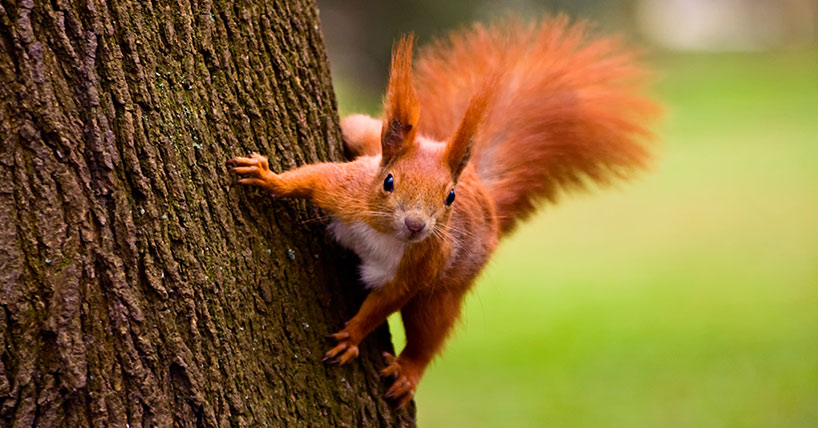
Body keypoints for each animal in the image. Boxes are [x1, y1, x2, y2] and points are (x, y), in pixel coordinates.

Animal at [228, 16, 657, 408]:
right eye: (388, 182)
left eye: (449, 197)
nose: (416, 225)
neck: (385, 233)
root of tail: (485, 195)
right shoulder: (347, 191)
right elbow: (311, 178)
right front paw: (267, 177)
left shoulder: (421, 266)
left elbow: (384, 302)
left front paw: (352, 336)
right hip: (364, 136)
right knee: (357, 128)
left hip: (445, 291)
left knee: (429, 332)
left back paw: (408, 372)